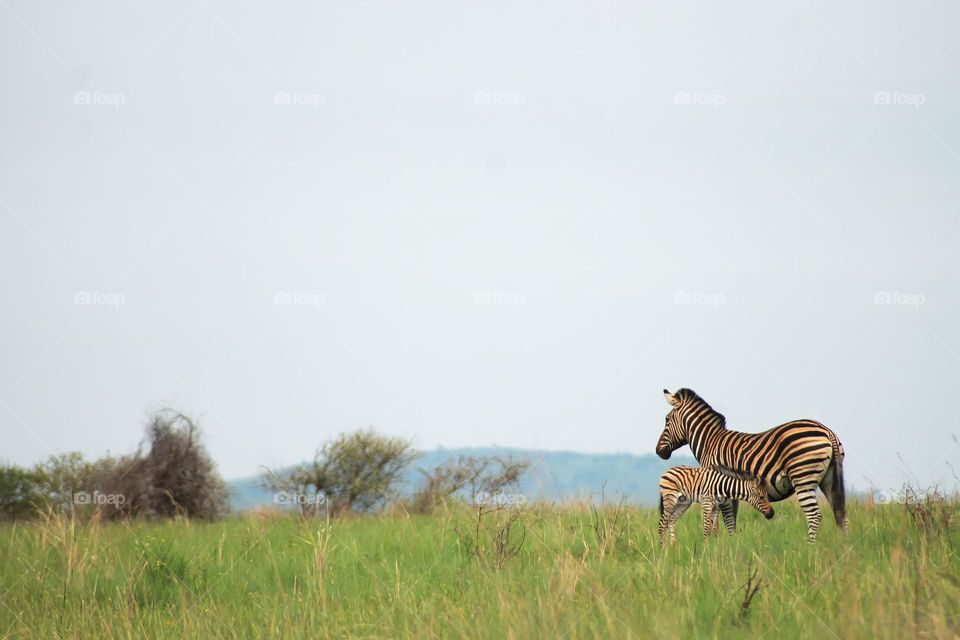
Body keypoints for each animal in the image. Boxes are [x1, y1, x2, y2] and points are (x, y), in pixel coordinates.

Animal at [652, 388, 848, 544]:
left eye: (667, 420)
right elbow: (731, 521)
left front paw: (717, 546)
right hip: (829, 480)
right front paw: (731, 545)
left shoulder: (717, 486)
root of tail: (827, 431)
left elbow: (722, 522)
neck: (710, 442)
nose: (658, 452)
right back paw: (842, 548)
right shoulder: (730, 490)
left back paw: (810, 547)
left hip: (803, 477)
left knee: (814, 515)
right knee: (841, 515)